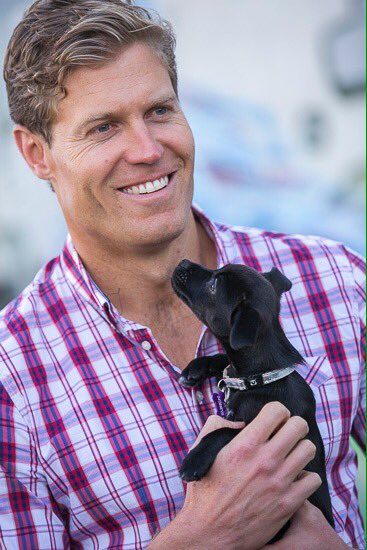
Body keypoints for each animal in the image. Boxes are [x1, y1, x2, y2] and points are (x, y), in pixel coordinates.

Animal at [171, 262, 334, 540]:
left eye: (214, 285)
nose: (183, 263)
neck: (261, 377)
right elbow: (224, 362)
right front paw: (197, 367)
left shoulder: (269, 432)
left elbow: (227, 431)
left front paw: (195, 459)